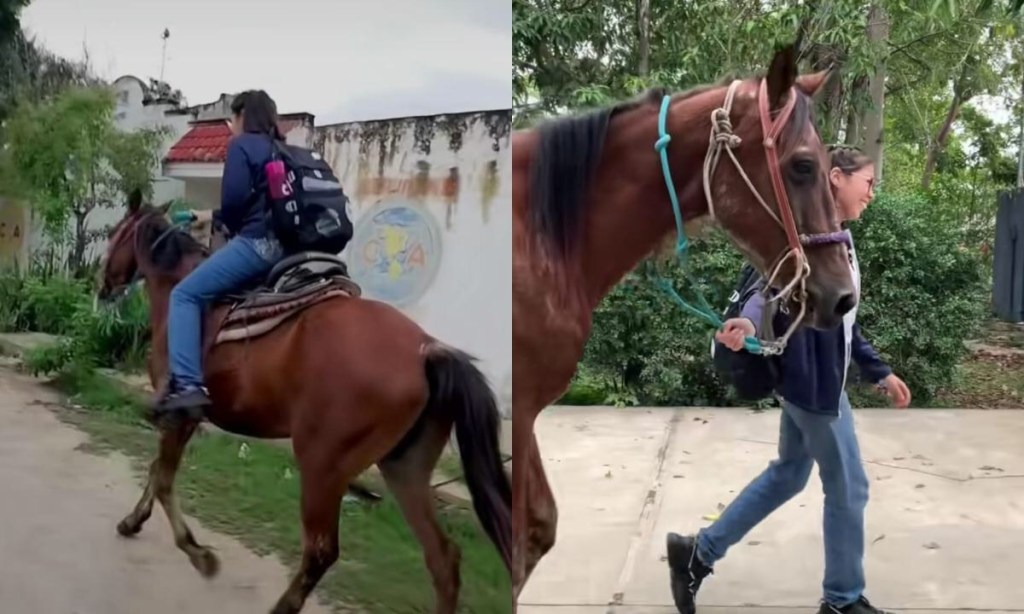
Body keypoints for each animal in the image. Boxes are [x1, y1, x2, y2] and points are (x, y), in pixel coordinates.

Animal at [95, 199, 512, 614]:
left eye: (114, 231)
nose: (103, 284)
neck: (175, 288)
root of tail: (426, 349)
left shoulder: (179, 415)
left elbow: (164, 480)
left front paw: (200, 555)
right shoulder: (182, 418)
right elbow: (156, 472)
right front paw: (133, 521)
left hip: (323, 465)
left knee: (321, 551)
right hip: (404, 468)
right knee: (443, 558)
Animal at [511, 43, 856, 605]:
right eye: (803, 166)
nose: (844, 296)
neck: (536, 241)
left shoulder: (523, 409)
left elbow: (537, 532)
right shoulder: (515, 409)